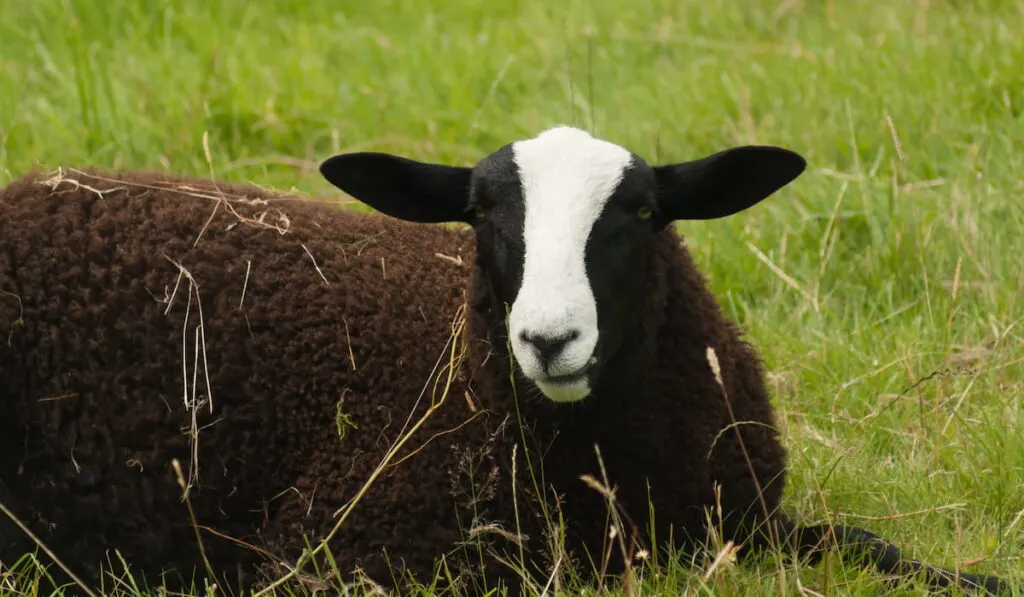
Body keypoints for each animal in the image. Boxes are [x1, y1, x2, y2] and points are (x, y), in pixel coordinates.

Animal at [0, 127, 1007, 597]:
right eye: (481, 214)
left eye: (643, 211)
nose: (548, 339)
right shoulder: (347, 552)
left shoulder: (743, 520)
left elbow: (870, 545)